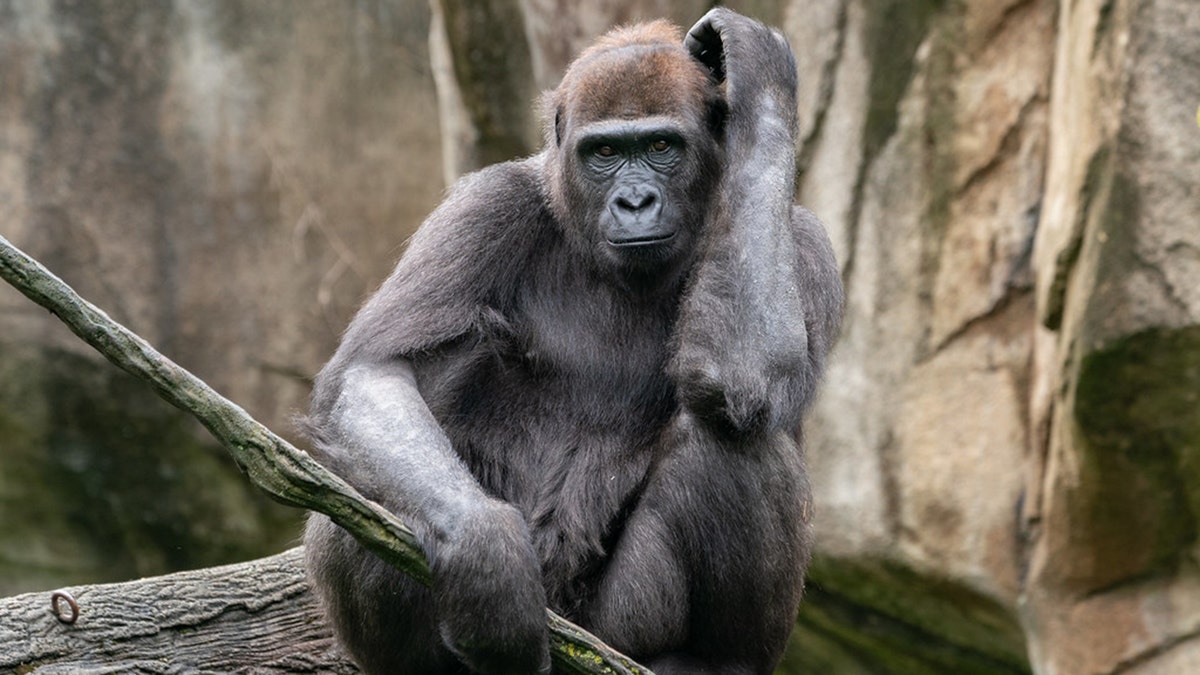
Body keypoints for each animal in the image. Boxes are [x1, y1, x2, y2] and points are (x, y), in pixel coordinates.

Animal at [302, 6, 844, 672]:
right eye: (604, 151)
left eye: (661, 146)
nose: (634, 200)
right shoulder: (487, 205)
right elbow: (373, 372)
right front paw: (485, 553)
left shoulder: (802, 238)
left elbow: (747, 378)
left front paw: (763, 79)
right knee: (364, 478)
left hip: (609, 636)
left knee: (734, 432)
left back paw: (715, 661)